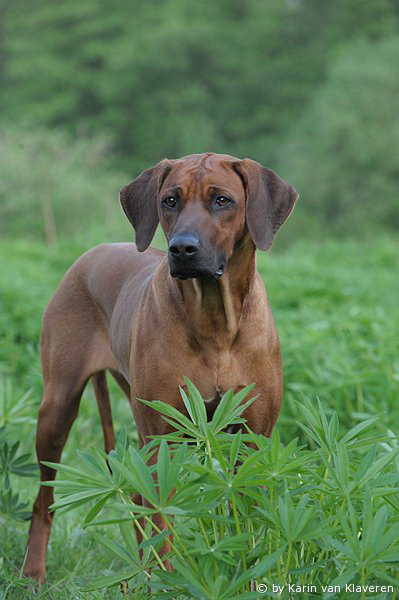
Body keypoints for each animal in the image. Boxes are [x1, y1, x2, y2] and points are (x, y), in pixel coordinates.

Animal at [21, 154, 296, 580]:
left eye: (222, 200)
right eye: (170, 200)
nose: (182, 248)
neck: (215, 322)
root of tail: (89, 254)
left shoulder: (253, 439)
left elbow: (246, 519)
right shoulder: (162, 439)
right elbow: (162, 522)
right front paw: (168, 581)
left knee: (134, 498)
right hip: (58, 405)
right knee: (44, 500)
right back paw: (34, 573)